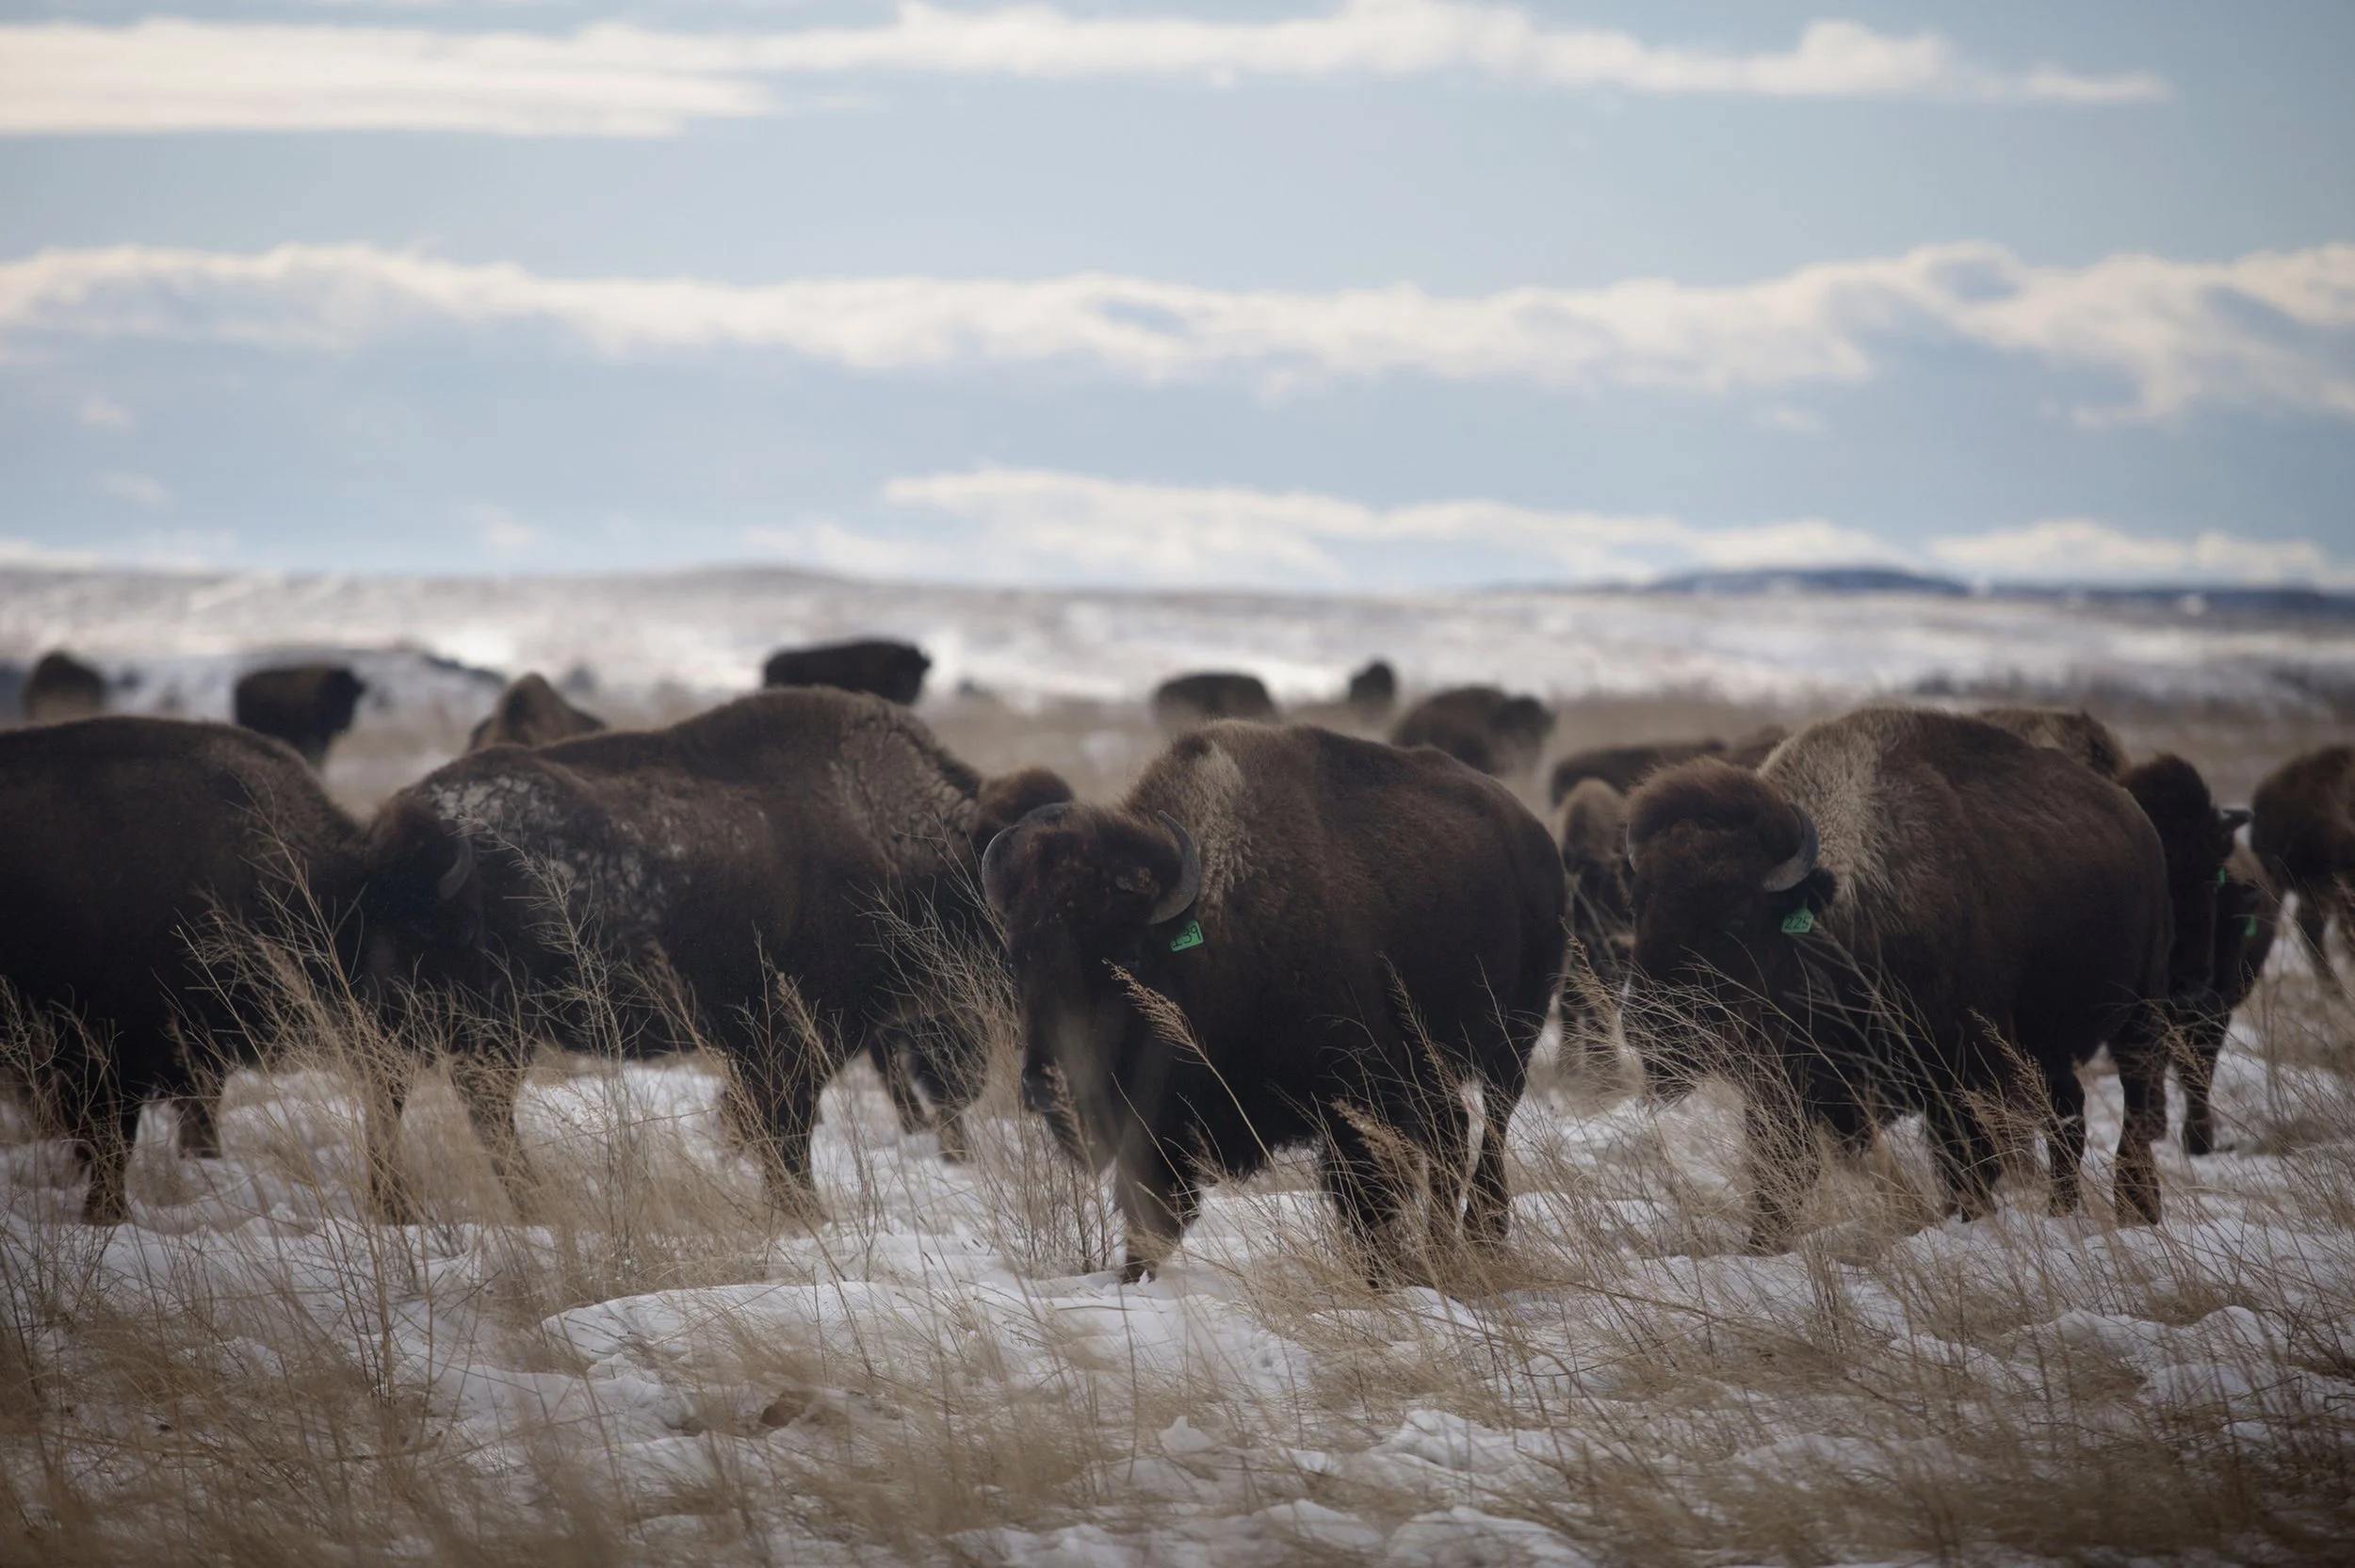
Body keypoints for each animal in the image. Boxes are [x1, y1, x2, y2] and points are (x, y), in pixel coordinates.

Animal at [360, 689, 1036, 1210]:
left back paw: (402, 1206)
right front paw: (804, 1214)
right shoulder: (807, 1033)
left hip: (416, 1022)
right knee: (477, 1106)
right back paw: (524, 1203)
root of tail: (408, 836)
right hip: (492, 1029)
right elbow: (783, 1126)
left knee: (395, 1096)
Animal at [981, 722, 1566, 1282]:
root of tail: (1533, 836)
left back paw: (1482, 1238)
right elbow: (1149, 1210)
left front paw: (1383, 1277)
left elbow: (1366, 1201)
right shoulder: (1156, 1124)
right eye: (1016, 957)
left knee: (1489, 1132)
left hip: (1510, 1046)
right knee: (1452, 1136)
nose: (1046, 1085)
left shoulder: (1356, 1099)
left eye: (1128, 956)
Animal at [1622, 708, 2174, 1247]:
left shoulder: (1964, 1081)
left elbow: (1969, 1170)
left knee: (2133, 1109)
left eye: (1736, 918)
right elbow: (1779, 1180)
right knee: (2069, 1113)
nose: (1645, 1027)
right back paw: (2063, 1212)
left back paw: (2136, 1210)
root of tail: (2137, 819)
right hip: (2048, 1047)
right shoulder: (1783, 1092)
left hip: (2139, 1018)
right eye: (1639, 906)